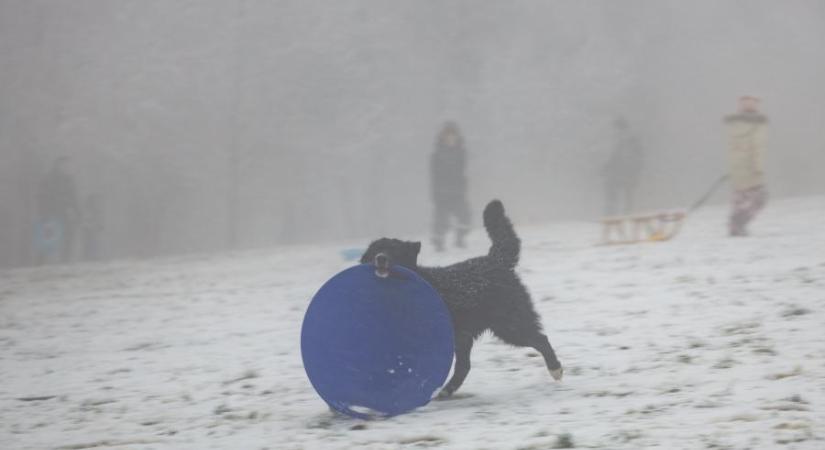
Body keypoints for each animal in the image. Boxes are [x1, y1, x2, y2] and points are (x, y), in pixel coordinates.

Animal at [360, 199, 560, 396]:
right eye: (375, 250)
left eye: (394, 250)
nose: (381, 258)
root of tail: (495, 260)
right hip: (467, 335)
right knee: (464, 366)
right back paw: (446, 391)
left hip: (510, 325)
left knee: (541, 339)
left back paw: (555, 369)